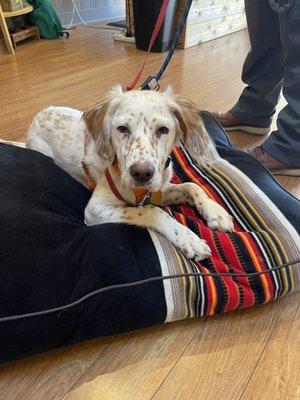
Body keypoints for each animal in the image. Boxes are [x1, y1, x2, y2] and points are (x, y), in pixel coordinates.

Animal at [25, 85, 233, 260]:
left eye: (163, 130)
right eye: (122, 129)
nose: (141, 173)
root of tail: (39, 115)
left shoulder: (159, 190)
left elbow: (192, 186)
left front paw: (216, 212)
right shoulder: (95, 209)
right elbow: (151, 211)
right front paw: (187, 238)